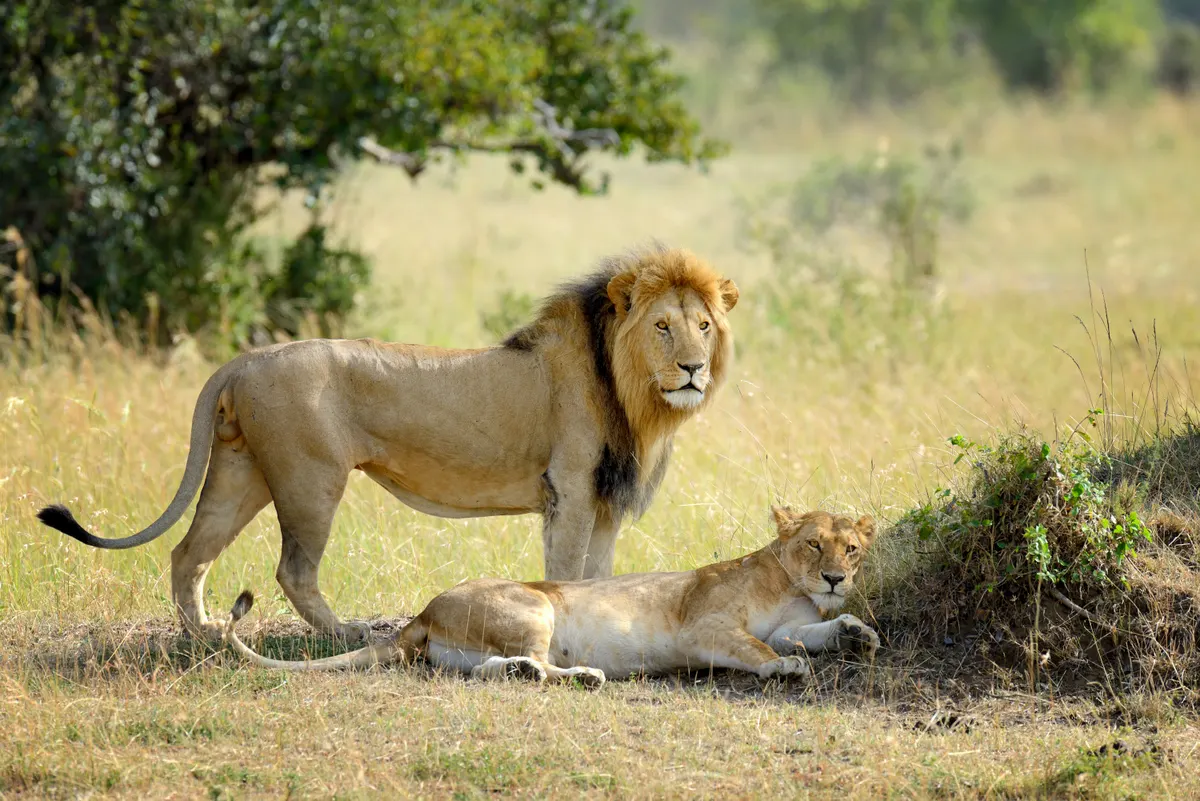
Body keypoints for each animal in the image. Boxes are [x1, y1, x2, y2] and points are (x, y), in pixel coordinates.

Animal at [37, 245, 739, 643]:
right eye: (663, 326)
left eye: (704, 326)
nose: (693, 369)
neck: (631, 393)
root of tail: (244, 359)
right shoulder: (567, 490)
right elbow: (567, 574)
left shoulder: (605, 501)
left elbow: (600, 574)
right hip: (310, 478)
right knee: (292, 569)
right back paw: (341, 633)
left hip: (241, 471)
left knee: (188, 553)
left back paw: (201, 636)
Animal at [220, 507, 880, 685]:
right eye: (814, 545)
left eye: (851, 549)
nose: (835, 578)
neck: (787, 581)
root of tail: (424, 612)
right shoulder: (705, 628)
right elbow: (762, 650)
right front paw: (786, 668)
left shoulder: (790, 621)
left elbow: (809, 632)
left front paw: (856, 632)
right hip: (534, 606)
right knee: (542, 663)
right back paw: (584, 675)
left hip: (471, 648)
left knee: (487, 669)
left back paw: (526, 673)